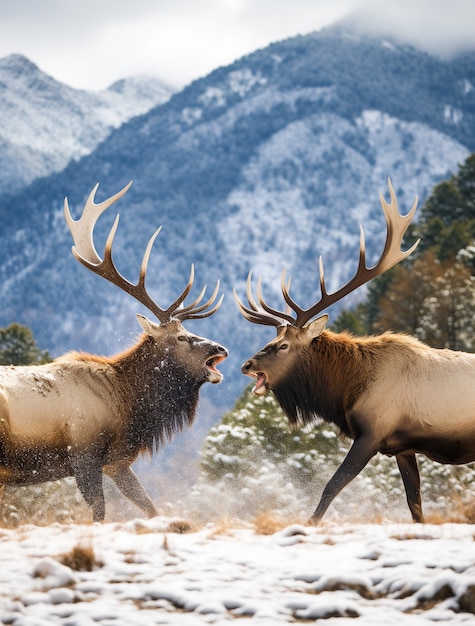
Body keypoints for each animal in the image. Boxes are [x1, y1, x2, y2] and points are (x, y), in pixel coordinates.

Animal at [0, 182, 229, 520]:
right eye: (181, 337)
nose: (221, 347)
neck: (127, 403)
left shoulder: (117, 461)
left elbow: (150, 507)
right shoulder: (84, 453)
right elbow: (99, 511)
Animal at [236, 178, 475, 524]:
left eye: (283, 345)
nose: (246, 364)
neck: (348, 388)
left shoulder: (372, 434)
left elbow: (331, 486)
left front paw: (309, 524)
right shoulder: (403, 447)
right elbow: (415, 503)